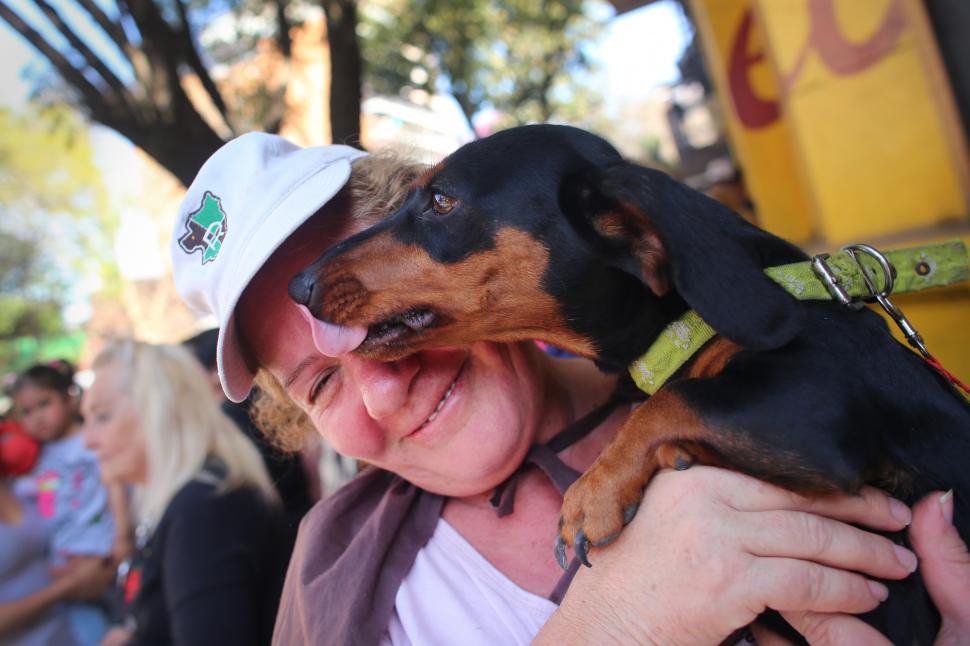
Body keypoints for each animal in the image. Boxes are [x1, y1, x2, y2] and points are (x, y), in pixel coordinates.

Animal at [290, 124, 968, 644]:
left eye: (441, 201)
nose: (298, 285)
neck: (687, 325)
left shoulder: (817, 407)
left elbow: (673, 399)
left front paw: (592, 493)